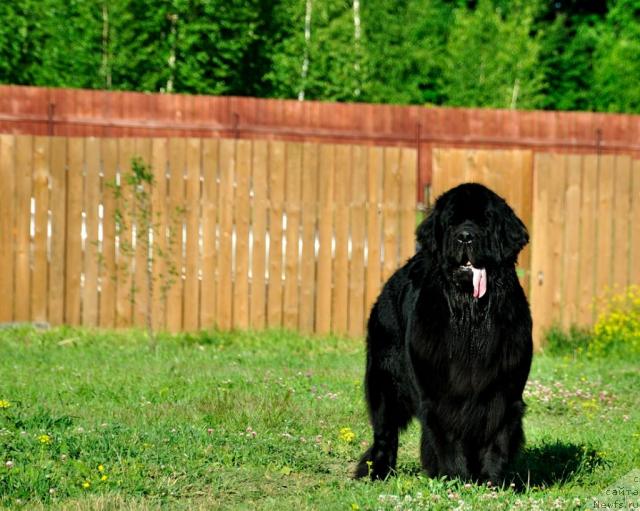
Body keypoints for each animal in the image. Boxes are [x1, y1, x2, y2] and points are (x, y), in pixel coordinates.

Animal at [358, 184, 532, 484]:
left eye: (485, 221)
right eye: (451, 222)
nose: (465, 236)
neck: (470, 317)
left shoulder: (505, 391)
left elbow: (498, 437)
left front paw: (492, 480)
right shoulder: (438, 392)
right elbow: (447, 437)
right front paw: (456, 478)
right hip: (384, 378)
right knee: (385, 431)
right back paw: (376, 471)